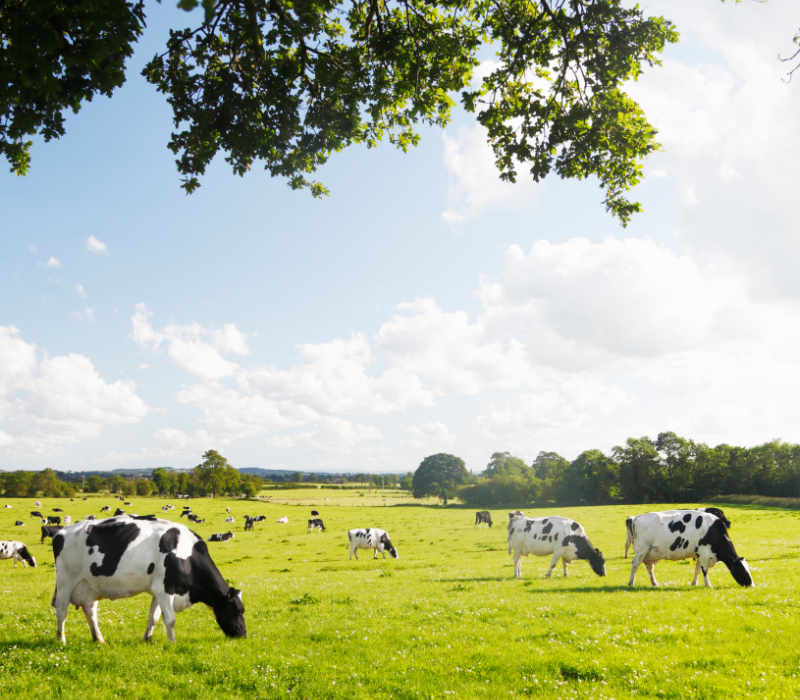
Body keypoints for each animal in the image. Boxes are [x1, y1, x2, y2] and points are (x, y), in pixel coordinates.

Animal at [51, 516, 245, 644]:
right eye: (236, 610)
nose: (243, 635)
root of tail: (61, 532)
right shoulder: (166, 589)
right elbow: (170, 619)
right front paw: (172, 643)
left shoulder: (158, 590)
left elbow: (154, 617)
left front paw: (148, 639)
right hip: (65, 581)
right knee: (61, 610)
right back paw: (62, 640)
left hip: (89, 586)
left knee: (90, 611)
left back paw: (99, 639)